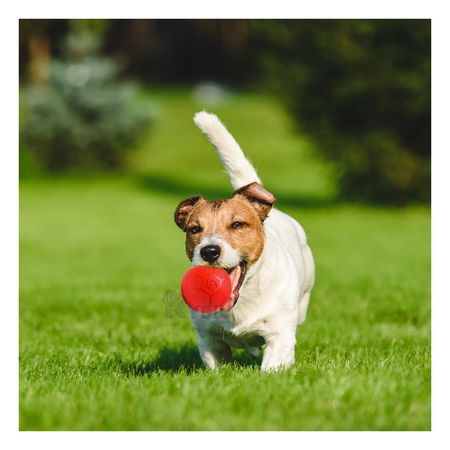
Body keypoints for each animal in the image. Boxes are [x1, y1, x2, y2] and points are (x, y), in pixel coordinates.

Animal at [174, 110, 314, 370]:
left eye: (237, 224)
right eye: (195, 229)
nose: (209, 251)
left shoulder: (279, 333)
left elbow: (273, 364)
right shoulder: (209, 339)